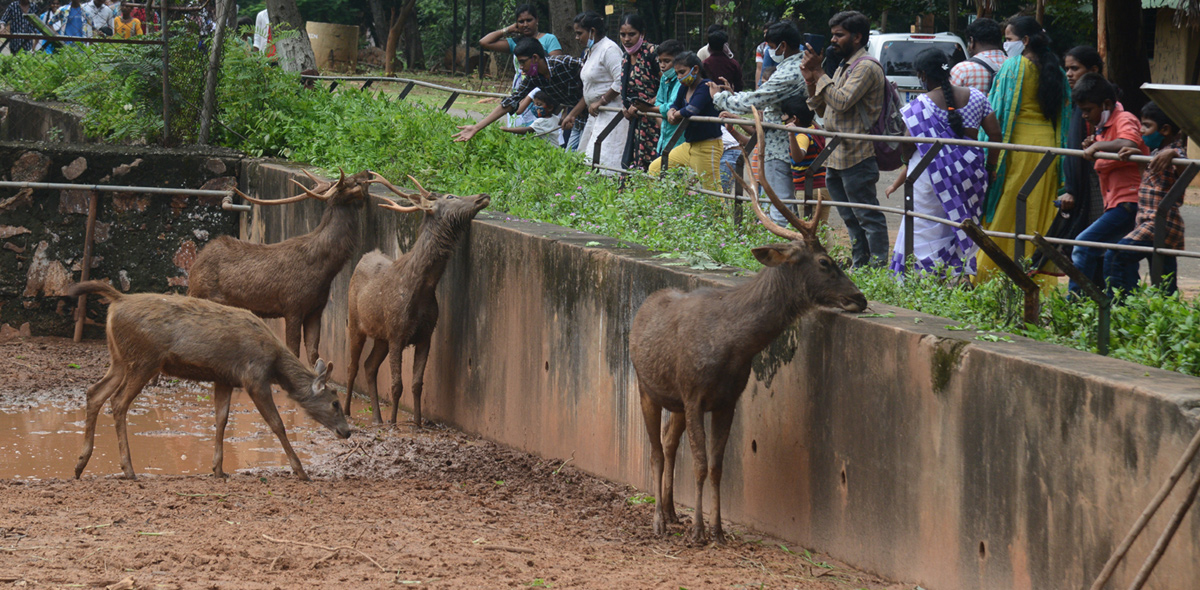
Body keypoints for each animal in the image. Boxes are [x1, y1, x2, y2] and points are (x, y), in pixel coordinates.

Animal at [68, 280, 350, 479]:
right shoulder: (254, 378)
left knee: (94, 392)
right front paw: (301, 471)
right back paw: (128, 469)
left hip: (119, 359)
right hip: (144, 360)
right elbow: (276, 423)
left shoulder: (224, 378)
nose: (347, 431)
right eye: (335, 402)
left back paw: (80, 465)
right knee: (118, 402)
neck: (275, 365)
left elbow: (221, 420)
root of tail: (118, 300)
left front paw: (218, 469)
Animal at [188, 167, 379, 366]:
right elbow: (294, 351)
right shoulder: (292, 306)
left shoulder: (316, 310)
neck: (325, 271)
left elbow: (313, 354)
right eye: (354, 182)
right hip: (203, 295)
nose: (367, 171)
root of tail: (194, 267)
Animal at [343, 173, 487, 424]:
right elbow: (396, 385)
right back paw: (347, 411)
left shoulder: (424, 335)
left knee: (369, 366)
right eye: (450, 196)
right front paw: (393, 423)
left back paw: (377, 417)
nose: (483, 196)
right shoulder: (397, 333)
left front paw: (417, 424)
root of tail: (363, 257)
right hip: (355, 321)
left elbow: (417, 384)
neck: (422, 290)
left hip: (381, 336)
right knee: (352, 366)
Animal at [628, 106, 864, 544]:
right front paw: (700, 531)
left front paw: (718, 529)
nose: (860, 297)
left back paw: (670, 512)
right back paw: (658, 521)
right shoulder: (694, 393)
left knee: (668, 444)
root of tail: (642, 309)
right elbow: (700, 464)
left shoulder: (727, 399)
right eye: (825, 262)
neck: (734, 347)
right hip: (646, 386)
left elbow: (718, 466)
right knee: (654, 451)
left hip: (673, 401)